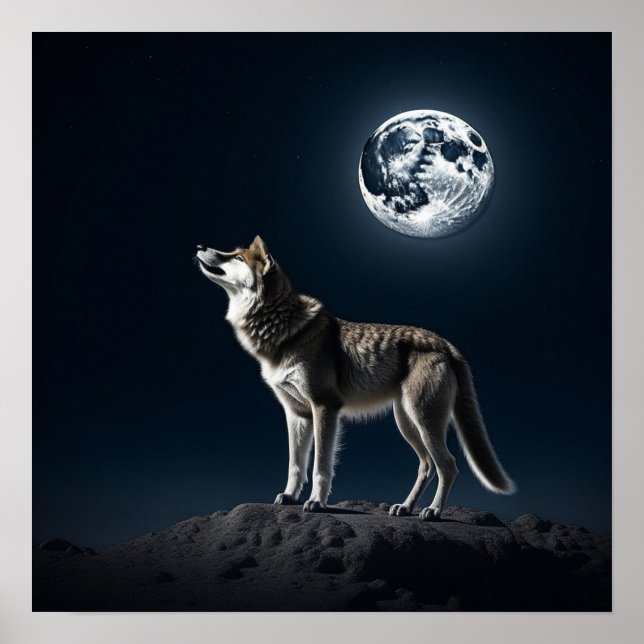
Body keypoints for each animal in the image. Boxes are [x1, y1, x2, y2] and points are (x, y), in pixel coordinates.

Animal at [195, 236, 515, 519]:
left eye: (236, 257)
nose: (199, 245)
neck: (283, 329)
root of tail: (445, 343)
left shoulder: (325, 407)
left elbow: (320, 465)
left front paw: (316, 502)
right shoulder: (296, 413)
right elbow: (295, 465)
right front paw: (289, 496)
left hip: (423, 421)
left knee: (448, 465)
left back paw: (433, 512)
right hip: (407, 423)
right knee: (426, 466)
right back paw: (404, 508)